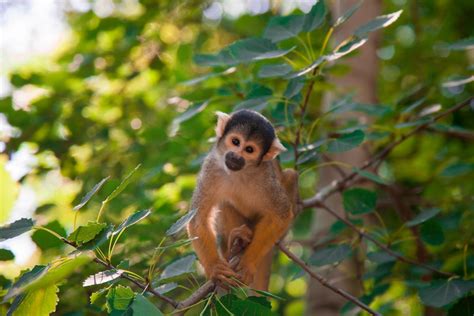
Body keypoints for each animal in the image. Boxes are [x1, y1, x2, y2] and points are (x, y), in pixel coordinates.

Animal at [187, 109, 298, 292]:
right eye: (235, 141)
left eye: (249, 149)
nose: (236, 156)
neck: (239, 173)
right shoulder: (212, 167)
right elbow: (198, 219)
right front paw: (215, 268)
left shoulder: (266, 177)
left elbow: (281, 214)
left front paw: (248, 263)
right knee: (225, 203)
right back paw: (233, 245)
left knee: (290, 176)